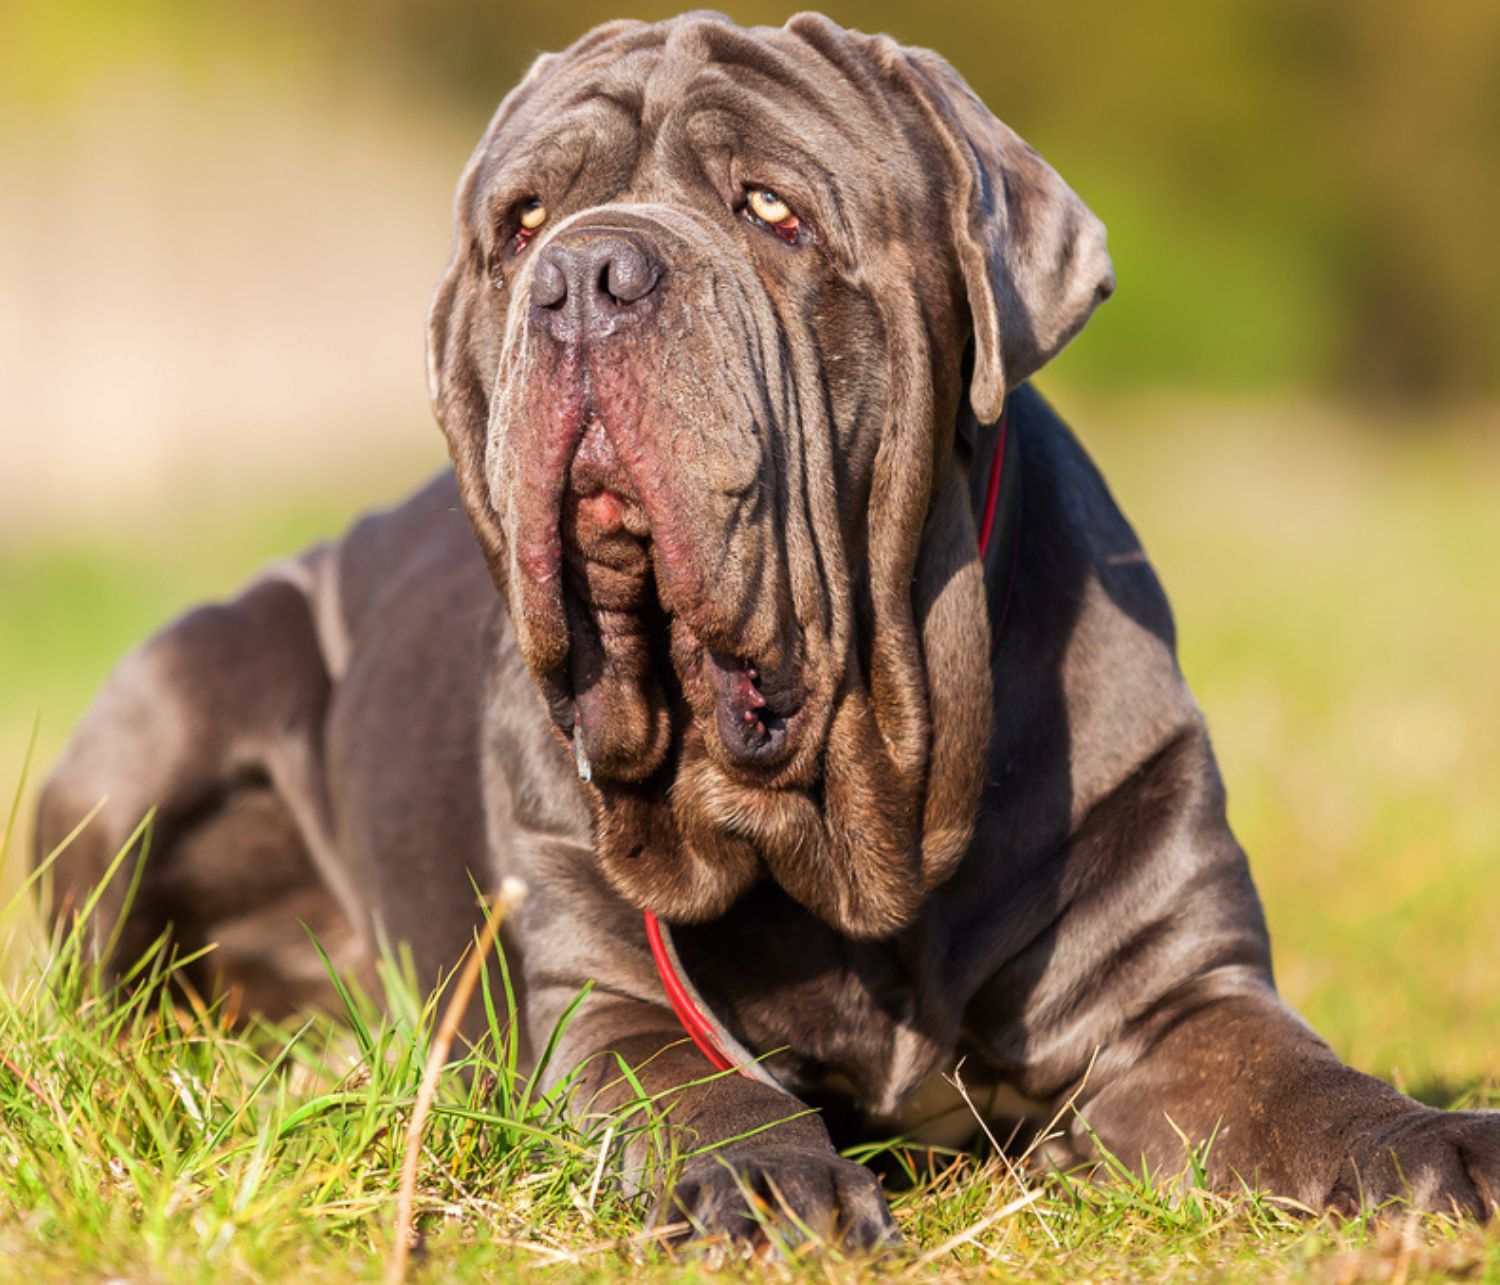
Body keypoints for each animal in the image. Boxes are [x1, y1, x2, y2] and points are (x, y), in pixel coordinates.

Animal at [38, 10, 1500, 1247]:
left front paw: (1439, 1138)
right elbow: (697, 1090)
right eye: (521, 220)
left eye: (771, 209)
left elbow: (1312, 1087)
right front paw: (766, 1176)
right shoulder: (609, 1000)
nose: (582, 273)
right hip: (164, 711)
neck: (863, 805)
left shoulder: (1177, 995)